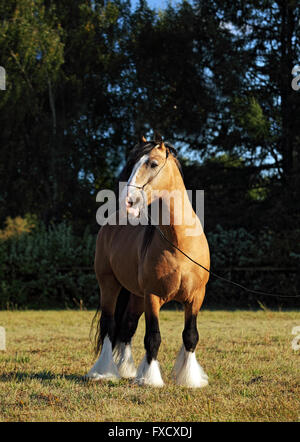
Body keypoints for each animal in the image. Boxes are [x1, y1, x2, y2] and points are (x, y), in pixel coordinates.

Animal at [85, 134, 210, 386]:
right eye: (132, 164)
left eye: (152, 164)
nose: (128, 201)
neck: (180, 243)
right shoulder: (153, 297)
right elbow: (153, 337)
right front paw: (150, 379)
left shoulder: (196, 297)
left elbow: (190, 336)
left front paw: (189, 379)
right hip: (109, 285)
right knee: (109, 325)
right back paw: (104, 371)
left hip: (135, 296)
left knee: (127, 326)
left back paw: (126, 369)